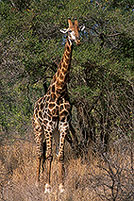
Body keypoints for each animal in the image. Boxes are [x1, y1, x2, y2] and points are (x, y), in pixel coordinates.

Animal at [32, 18, 82, 192]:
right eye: (69, 31)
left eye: (79, 30)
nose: (78, 40)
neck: (60, 90)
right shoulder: (48, 125)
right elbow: (48, 155)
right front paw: (47, 187)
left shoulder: (63, 125)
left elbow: (60, 155)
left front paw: (61, 186)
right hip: (38, 128)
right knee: (40, 153)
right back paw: (38, 182)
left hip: (53, 131)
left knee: (48, 152)